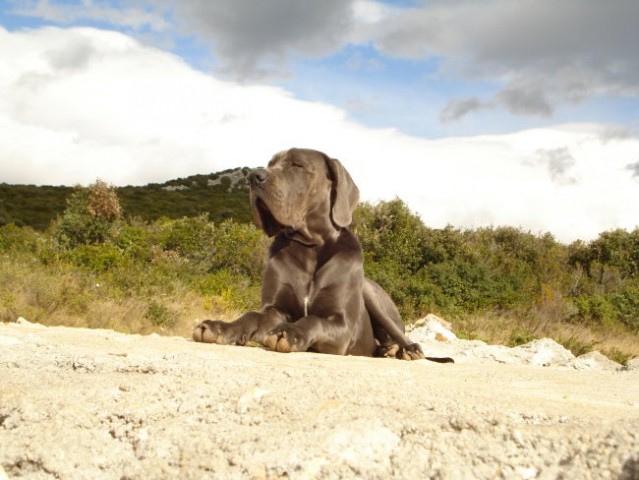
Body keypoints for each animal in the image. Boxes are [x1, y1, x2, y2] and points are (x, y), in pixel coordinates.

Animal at [192, 148, 452, 362]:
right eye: (270, 163)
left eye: (297, 165)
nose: (254, 176)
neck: (310, 246)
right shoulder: (275, 310)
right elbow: (251, 315)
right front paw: (221, 327)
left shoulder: (342, 325)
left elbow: (313, 319)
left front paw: (291, 332)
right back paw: (387, 350)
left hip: (371, 293)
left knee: (398, 333)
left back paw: (407, 349)